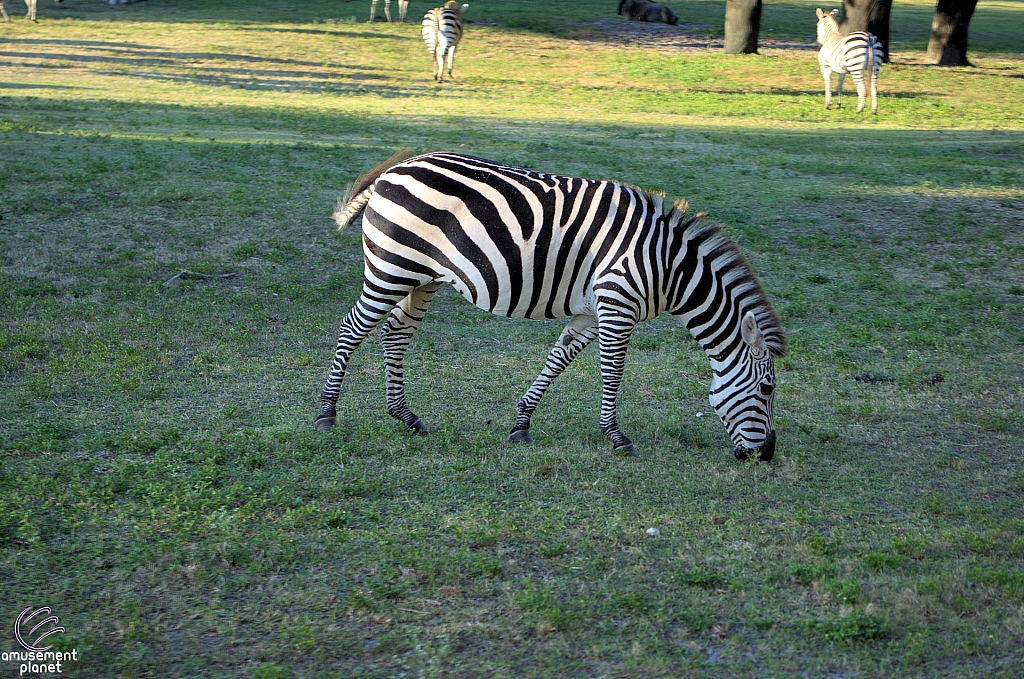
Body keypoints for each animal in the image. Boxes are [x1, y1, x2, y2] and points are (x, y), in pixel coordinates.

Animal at [311, 152, 782, 462]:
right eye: (767, 389)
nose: (767, 455)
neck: (668, 266)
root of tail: (395, 169)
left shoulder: (591, 309)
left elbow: (558, 360)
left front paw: (522, 424)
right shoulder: (617, 303)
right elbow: (613, 373)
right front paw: (616, 437)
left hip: (420, 277)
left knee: (396, 334)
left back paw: (406, 417)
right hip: (391, 267)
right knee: (352, 328)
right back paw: (327, 414)